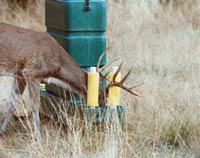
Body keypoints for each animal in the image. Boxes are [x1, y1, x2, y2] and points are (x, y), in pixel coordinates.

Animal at [0, 21, 141, 139]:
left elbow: (12, 103)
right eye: (101, 96)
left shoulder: (19, 74)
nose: (103, 106)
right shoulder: (32, 72)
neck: (58, 65)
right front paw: (38, 138)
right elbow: (35, 106)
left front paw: (2, 131)